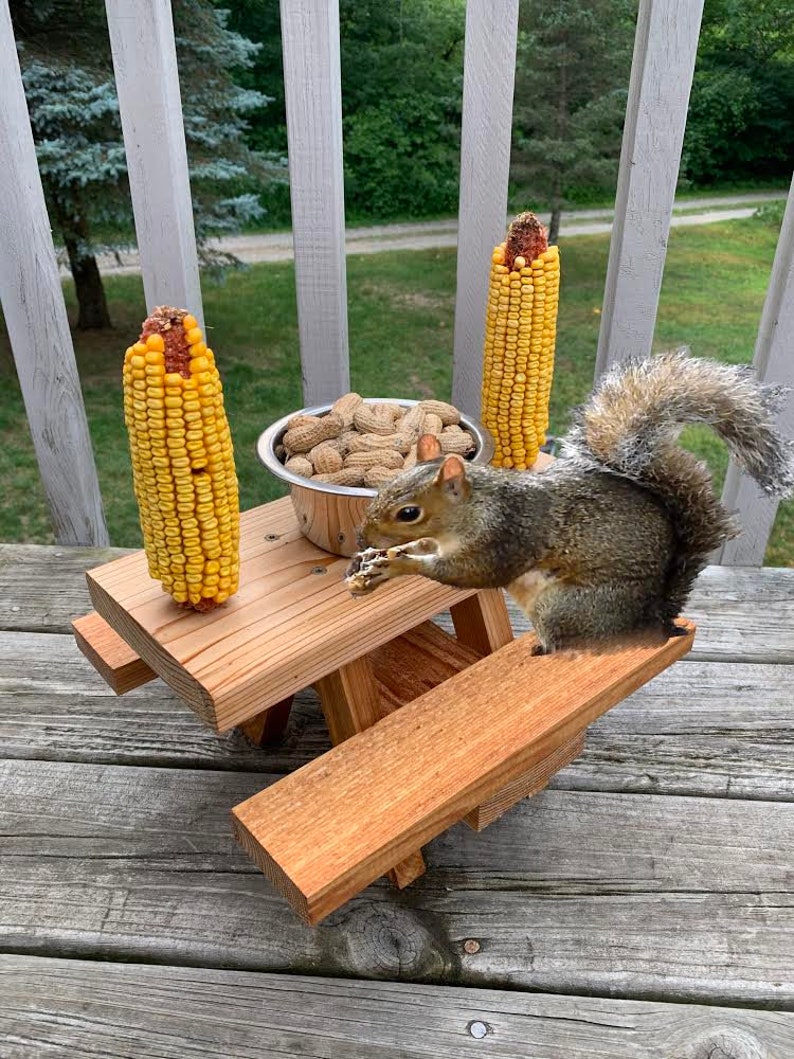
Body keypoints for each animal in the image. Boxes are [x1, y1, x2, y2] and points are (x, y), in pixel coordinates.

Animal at [345, 350, 794, 653]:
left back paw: (540, 649)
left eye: (409, 512)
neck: (474, 510)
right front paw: (378, 560)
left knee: (566, 640)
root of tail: (652, 615)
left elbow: (466, 574)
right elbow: (424, 547)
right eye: (385, 485)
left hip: (565, 606)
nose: (361, 536)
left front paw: (398, 564)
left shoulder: (505, 538)